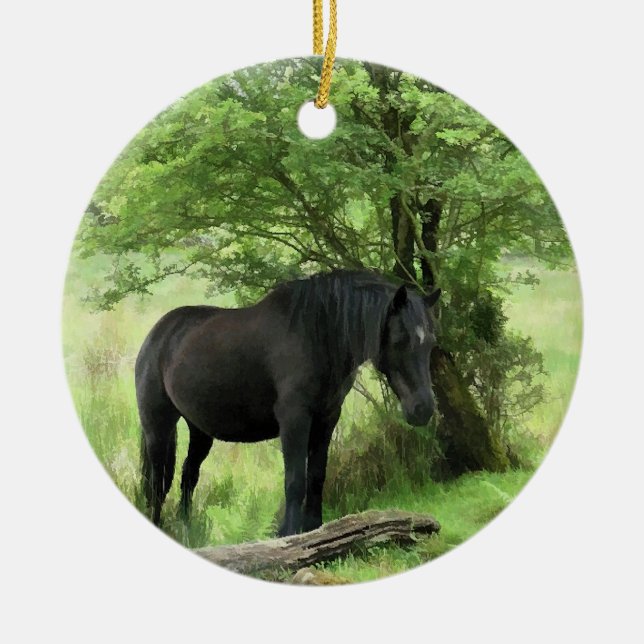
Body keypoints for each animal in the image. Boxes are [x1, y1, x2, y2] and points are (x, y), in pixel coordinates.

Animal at [135, 269, 441, 536]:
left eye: (430, 342)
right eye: (400, 340)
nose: (423, 409)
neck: (317, 336)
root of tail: (157, 334)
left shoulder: (327, 418)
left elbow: (316, 476)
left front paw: (315, 529)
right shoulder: (295, 419)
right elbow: (295, 480)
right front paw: (288, 533)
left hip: (200, 430)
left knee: (188, 476)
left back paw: (187, 530)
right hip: (158, 427)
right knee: (157, 484)